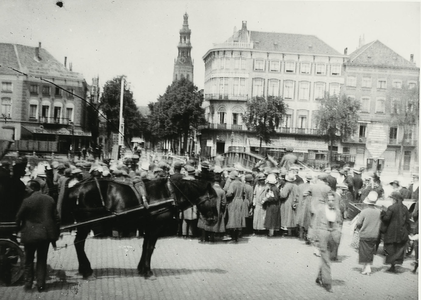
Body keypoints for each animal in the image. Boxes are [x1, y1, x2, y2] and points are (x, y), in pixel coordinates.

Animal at [60, 177, 218, 278]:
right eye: (213, 198)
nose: (214, 219)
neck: (168, 192)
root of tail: (74, 188)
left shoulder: (148, 227)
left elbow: (145, 247)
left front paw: (141, 269)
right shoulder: (155, 227)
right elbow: (150, 248)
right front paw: (148, 272)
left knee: (78, 244)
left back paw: (84, 269)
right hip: (85, 225)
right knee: (78, 244)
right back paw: (87, 271)